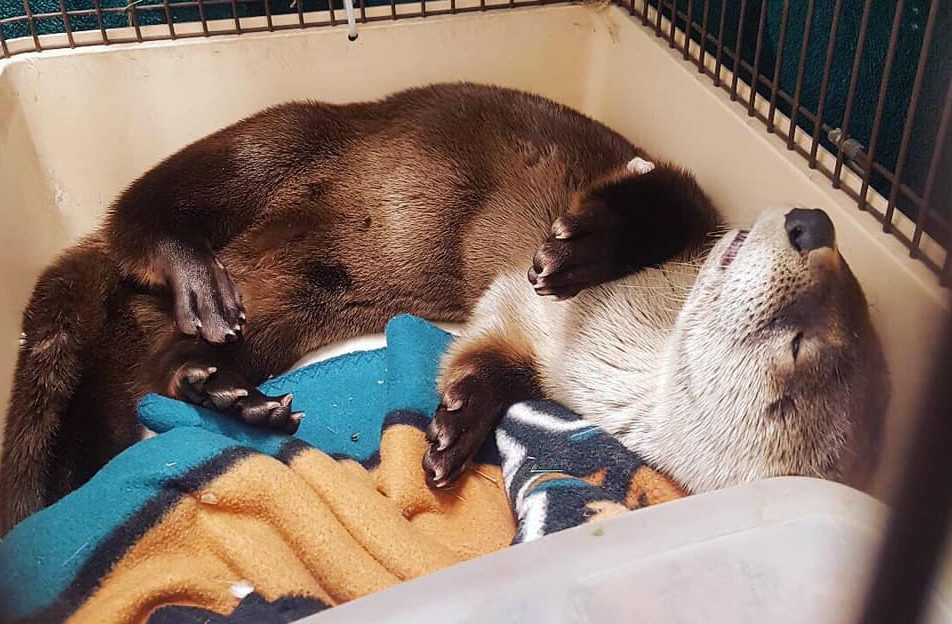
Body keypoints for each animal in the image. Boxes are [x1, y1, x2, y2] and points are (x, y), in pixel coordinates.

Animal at [0, 83, 887, 535]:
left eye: (803, 344)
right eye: (836, 289)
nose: (812, 223)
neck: (613, 334)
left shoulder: (528, 346)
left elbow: (485, 357)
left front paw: (456, 428)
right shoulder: (684, 202)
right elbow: (657, 196)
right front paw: (575, 251)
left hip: (289, 307)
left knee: (148, 378)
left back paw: (222, 392)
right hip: (272, 141)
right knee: (142, 211)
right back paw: (194, 279)